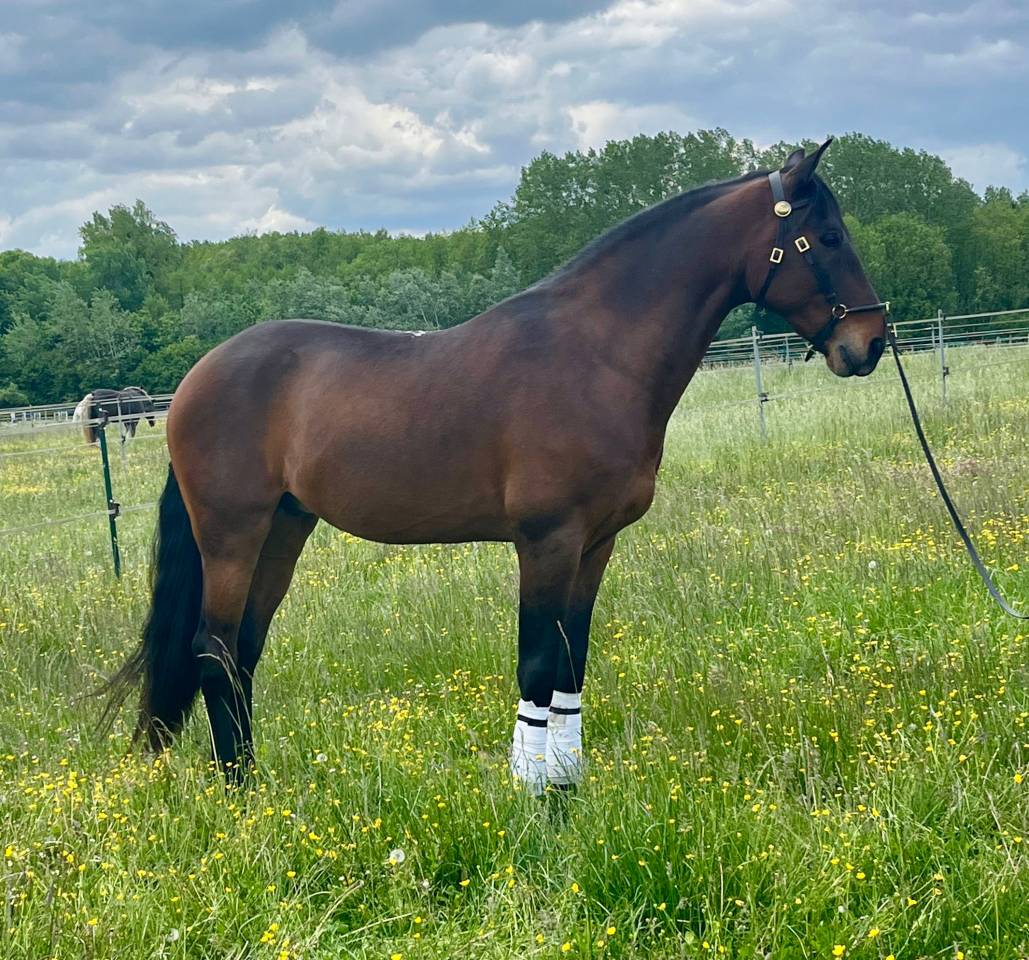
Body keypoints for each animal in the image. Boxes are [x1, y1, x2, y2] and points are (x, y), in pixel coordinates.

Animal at [101, 141, 888, 789]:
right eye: (827, 237)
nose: (870, 343)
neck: (596, 354)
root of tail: (196, 379)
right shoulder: (547, 541)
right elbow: (536, 666)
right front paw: (533, 800)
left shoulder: (596, 545)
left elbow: (570, 664)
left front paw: (567, 790)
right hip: (232, 534)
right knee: (214, 650)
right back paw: (242, 794)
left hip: (284, 529)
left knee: (243, 652)